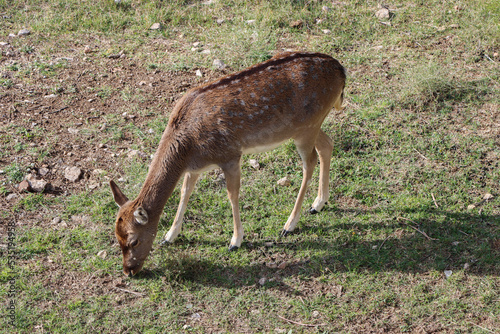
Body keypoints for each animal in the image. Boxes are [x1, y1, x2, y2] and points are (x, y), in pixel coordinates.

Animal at [110, 51, 346, 276]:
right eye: (116, 238)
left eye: (134, 240)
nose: (129, 271)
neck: (186, 148)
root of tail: (341, 70)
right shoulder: (195, 167)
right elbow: (185, 192)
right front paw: (169, 236)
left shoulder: (230, 155)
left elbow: (232, 195)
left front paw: (235, 241)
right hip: (310, 126)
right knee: (327, 144)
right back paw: (318, 204)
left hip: (307, 127)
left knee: (310, 162)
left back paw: (290, 224)